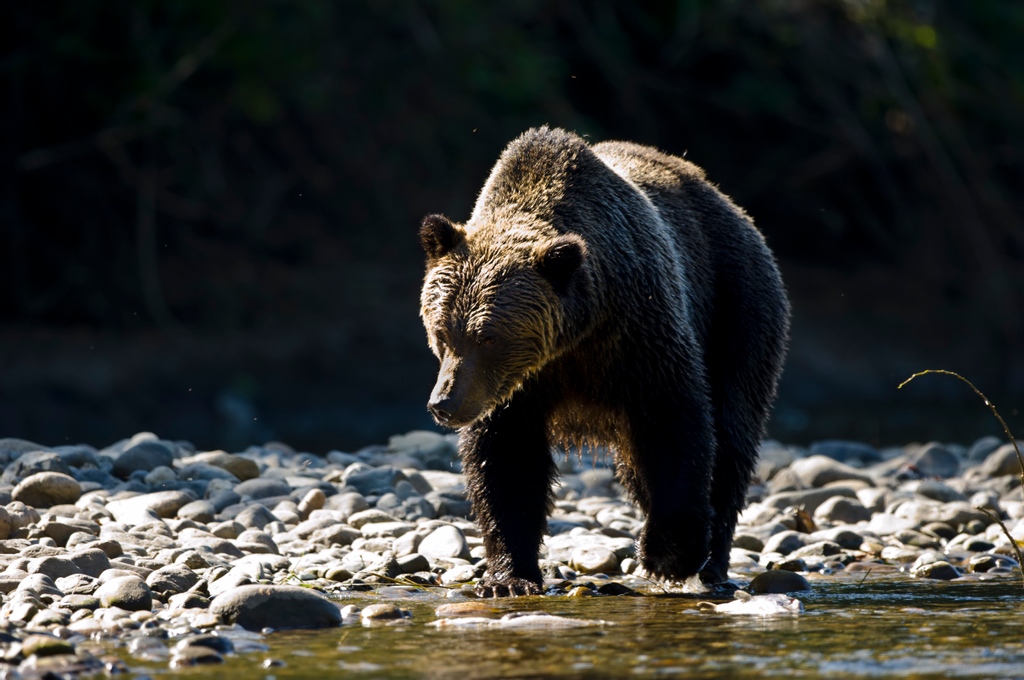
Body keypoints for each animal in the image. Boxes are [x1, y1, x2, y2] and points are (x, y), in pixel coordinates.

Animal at [418, 126, 789, 596]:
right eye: (442, 332)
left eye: (488, 338)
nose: (444, 403)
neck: (574, 337)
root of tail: (731, 204)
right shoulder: (516, 388)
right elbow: (505, 460)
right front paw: (509, 577)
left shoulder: (639, 336)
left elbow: (675, 425)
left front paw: (669, 554)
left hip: (737, 306)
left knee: (732, 436)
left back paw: (712, 562)